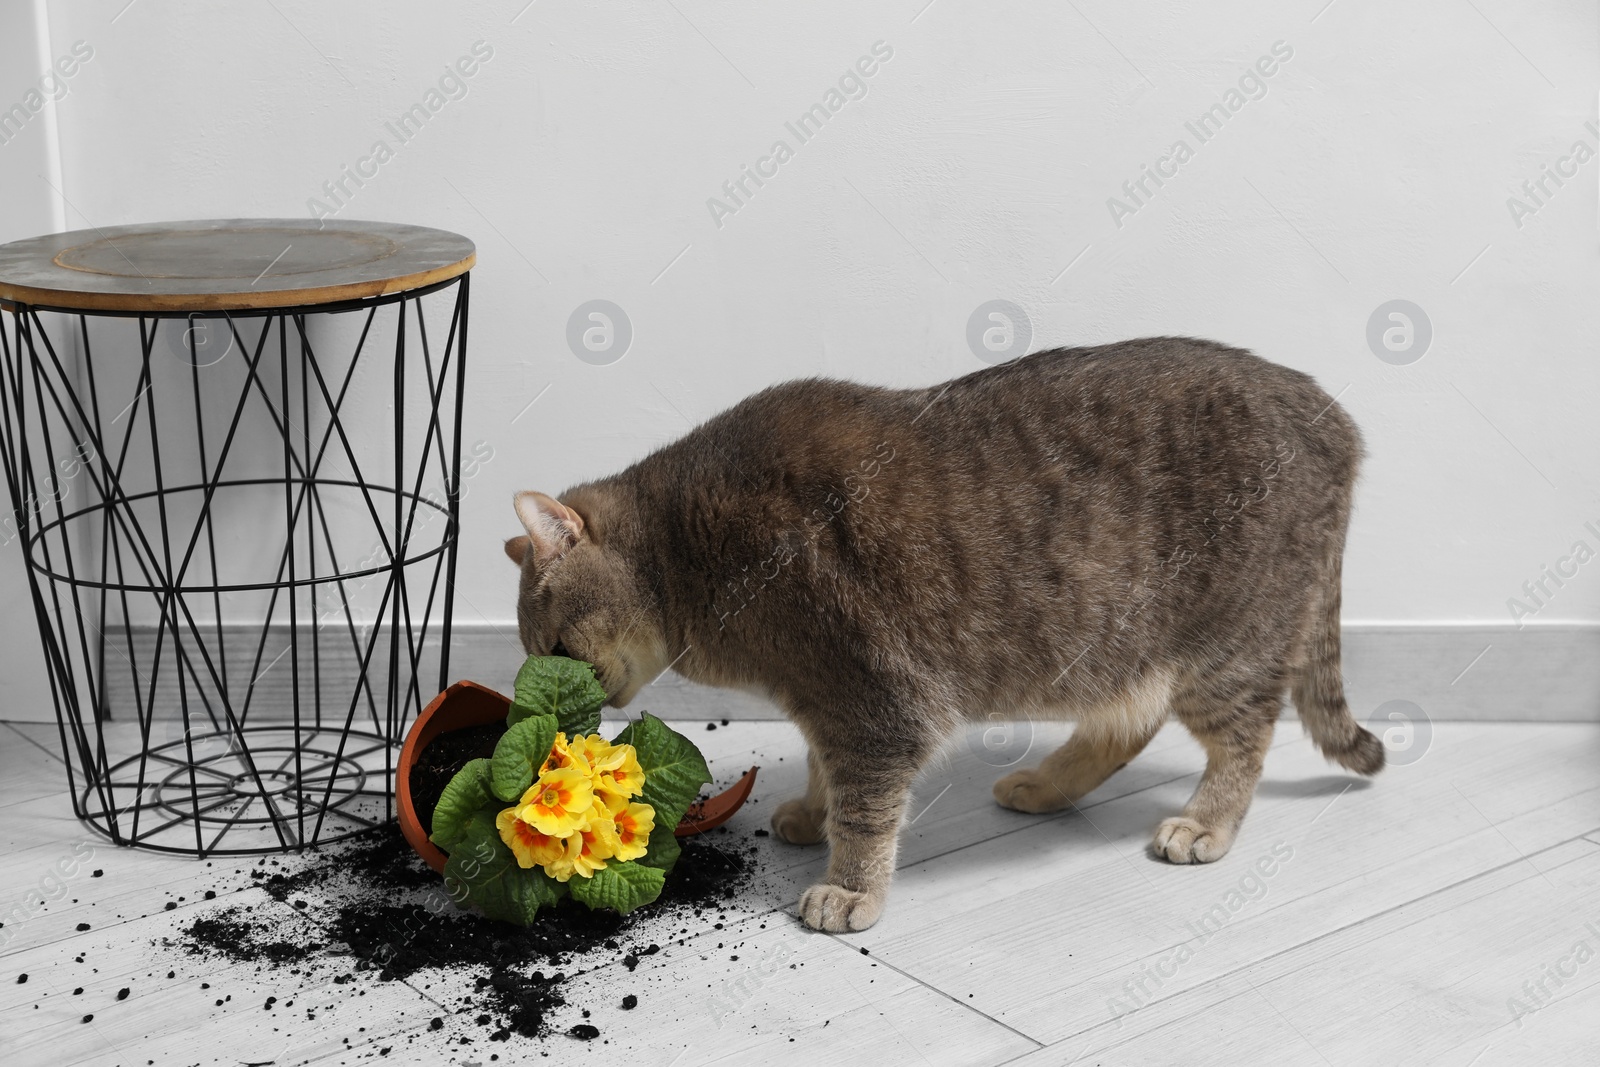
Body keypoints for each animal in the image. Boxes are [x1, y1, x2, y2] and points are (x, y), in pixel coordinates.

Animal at [505, 337, 1382, 927]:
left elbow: (865, 809)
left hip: (1226, 647)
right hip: (1116, 651)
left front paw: (849, 885)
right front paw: (811, 811)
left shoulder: (873, 698)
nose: (581, 715)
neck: (683, 547)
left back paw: (1205, 823)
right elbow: (826, 769)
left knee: (1244, 740)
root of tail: (1334, 416)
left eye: (556, 650)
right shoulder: (826, 696)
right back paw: (1045, 785)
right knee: (1129, 723)